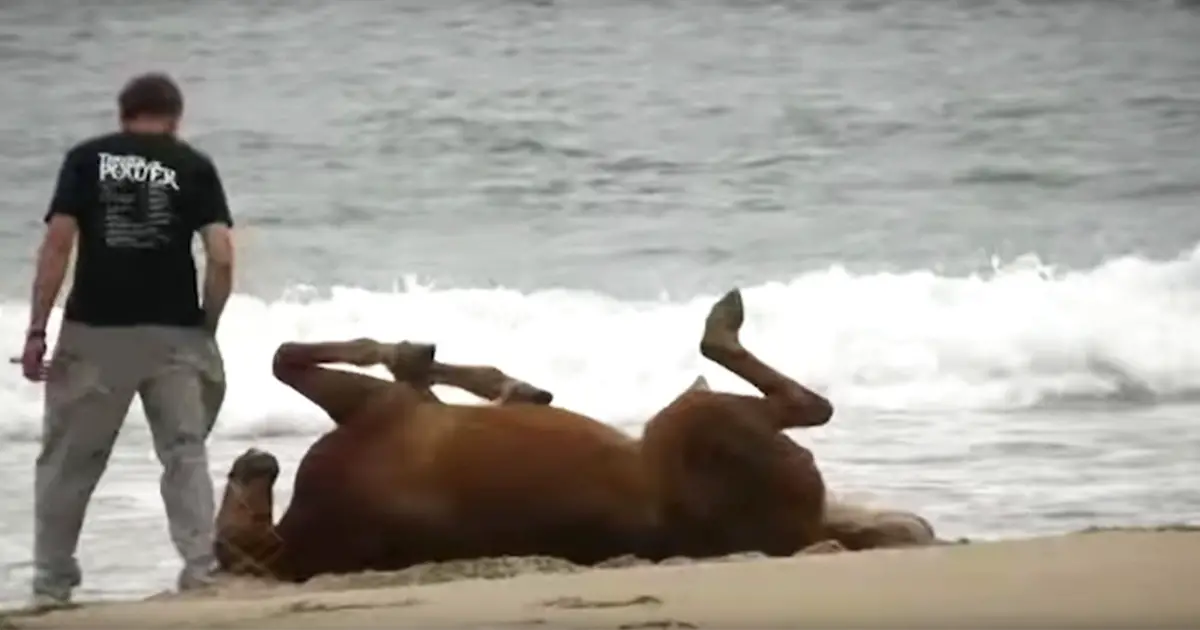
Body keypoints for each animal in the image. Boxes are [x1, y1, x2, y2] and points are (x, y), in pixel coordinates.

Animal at [213, 286, 926, 583]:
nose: (253, 461)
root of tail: (803, 531)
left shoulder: (387, 405)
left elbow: (293, 358)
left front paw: (511, 387)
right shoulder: (381, 405)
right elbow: (291, 357)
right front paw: (426, 356)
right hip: (702, 420)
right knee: (802, 401)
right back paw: (723, 320)